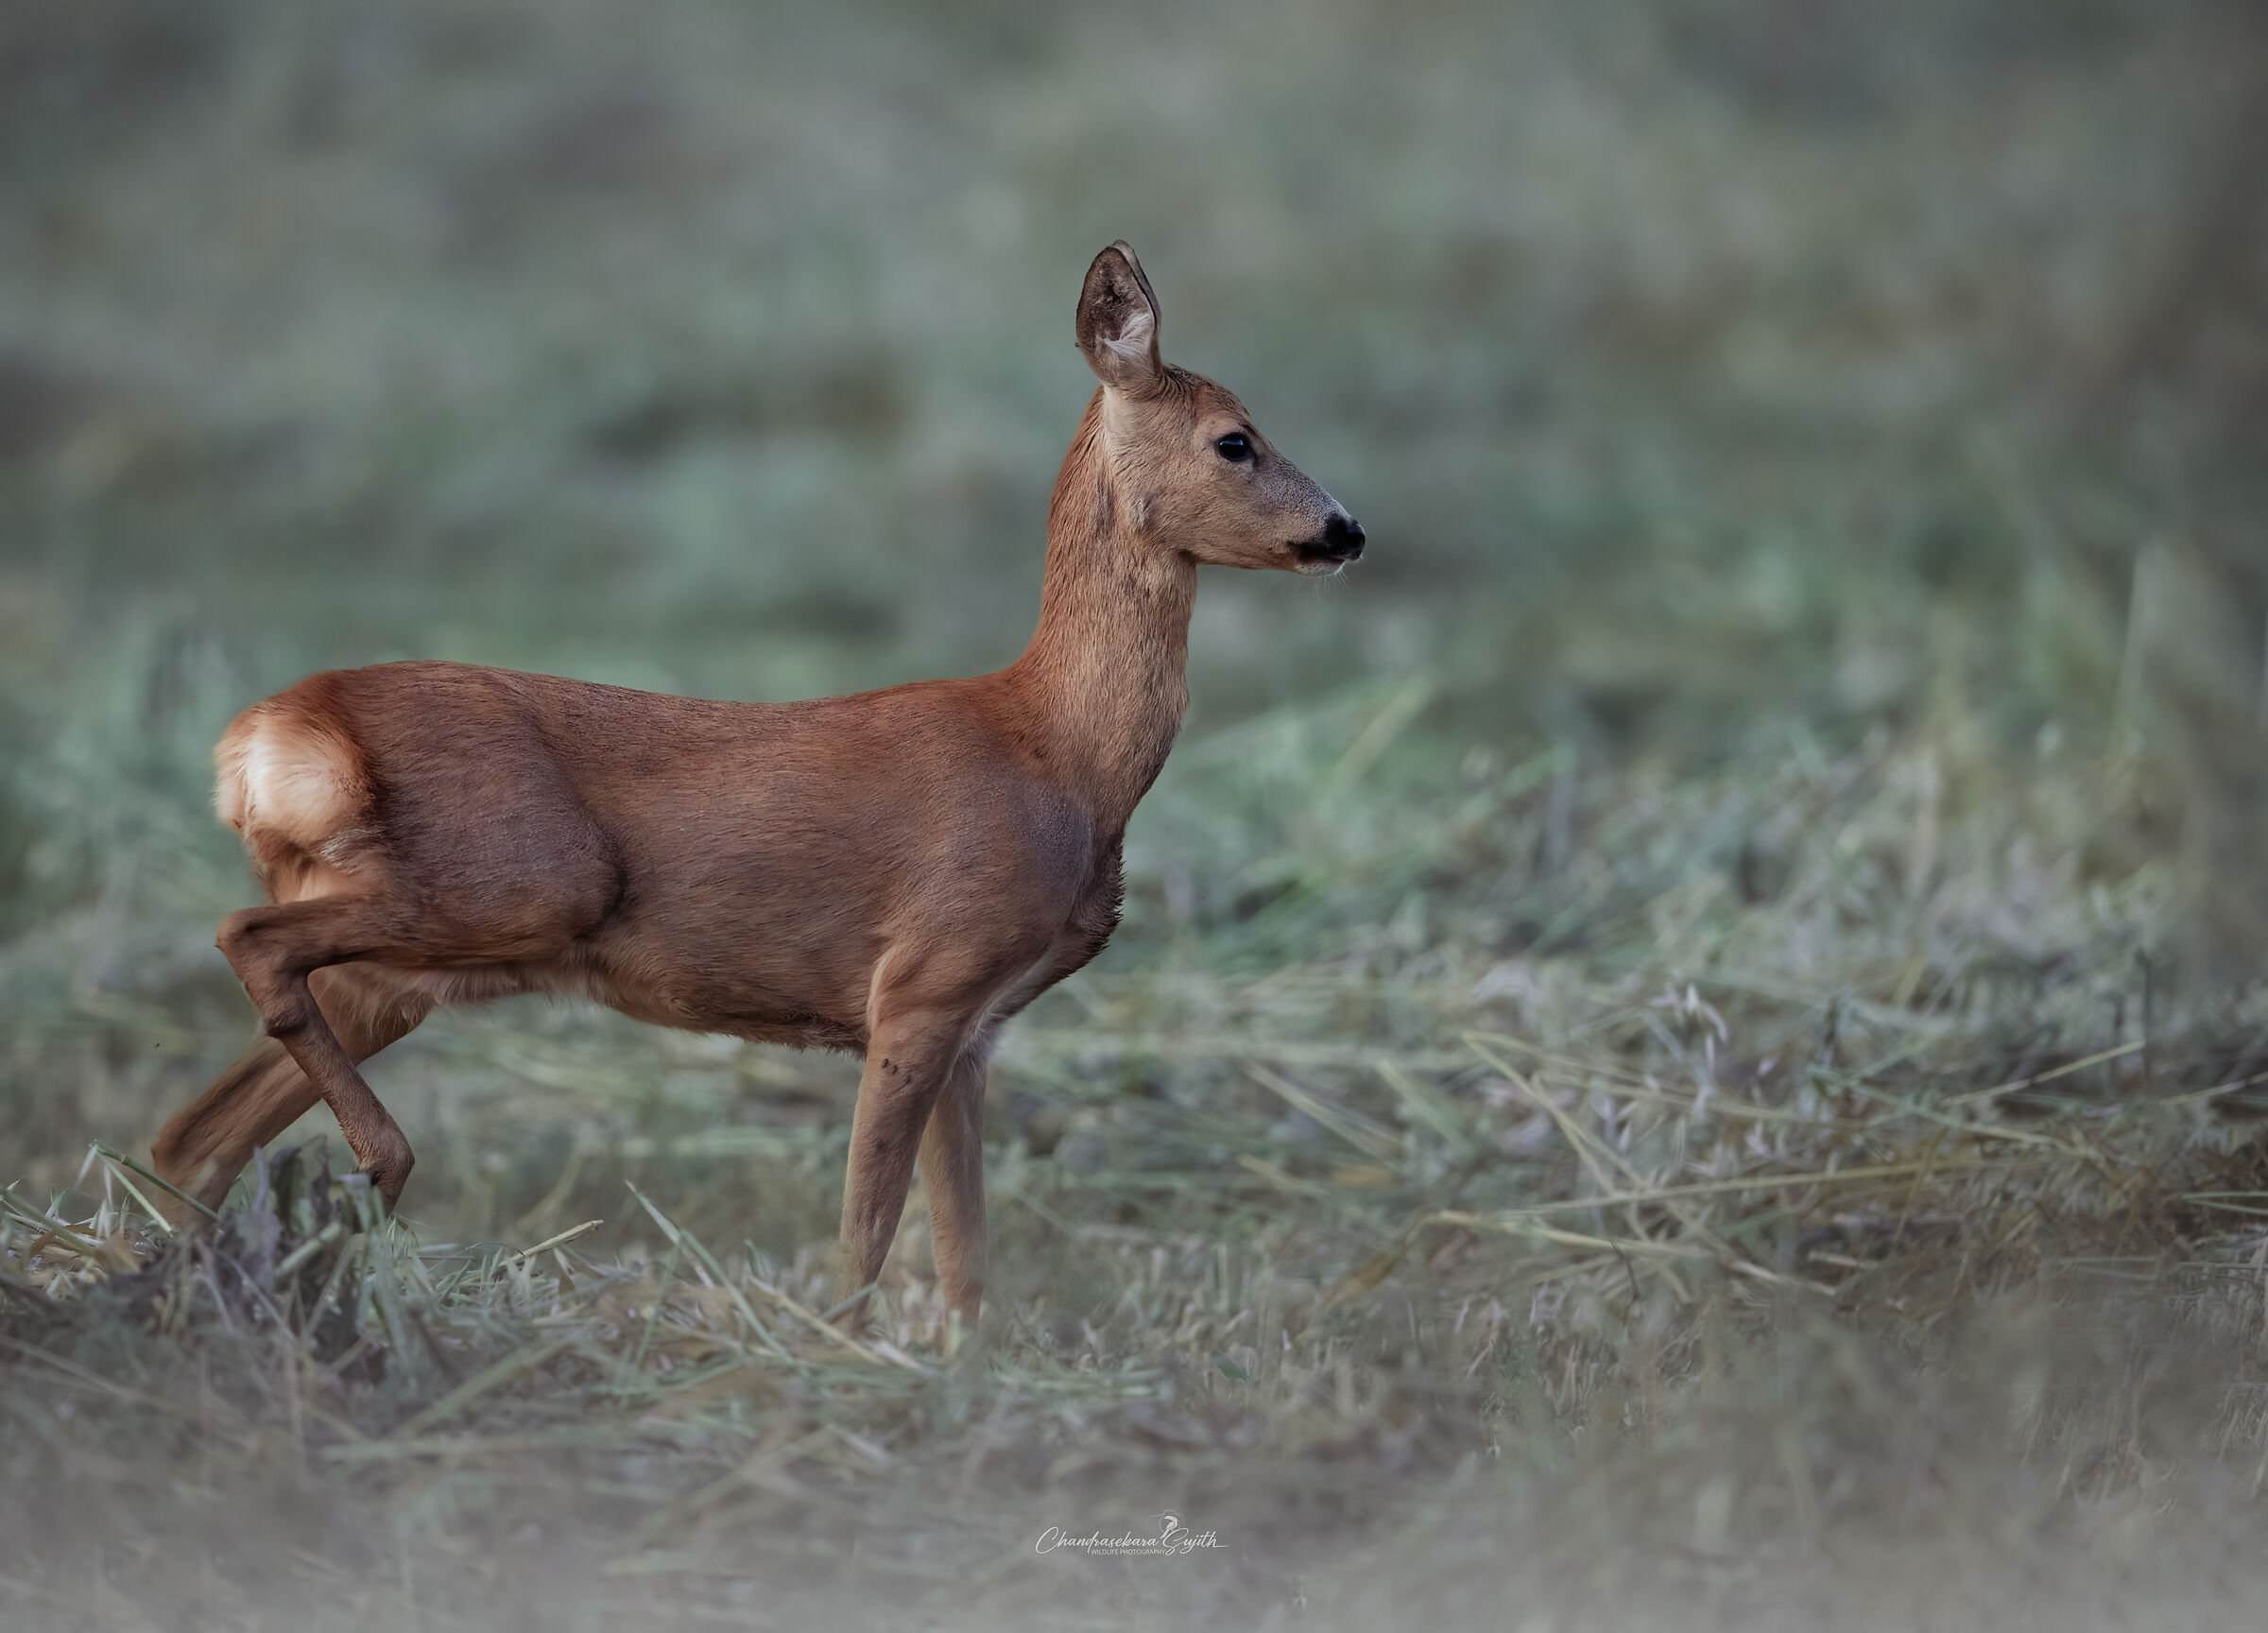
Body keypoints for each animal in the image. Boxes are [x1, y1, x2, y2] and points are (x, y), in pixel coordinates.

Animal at [149, 242, 1365, 1329]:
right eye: (1236, 440)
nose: (1347, 529)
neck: (1058, 757)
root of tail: (273, 736)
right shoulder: (921, 982)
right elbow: (866, 1239)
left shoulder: (976, 1026)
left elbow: (967, 1264)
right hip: (517, 884)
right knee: (244, 948)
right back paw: (379, 1171)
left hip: (398, 968)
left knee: (191, 1134)